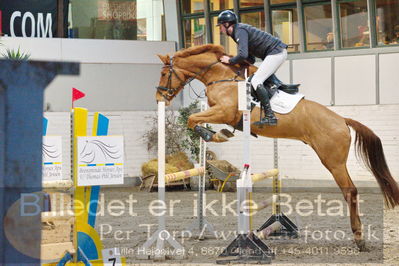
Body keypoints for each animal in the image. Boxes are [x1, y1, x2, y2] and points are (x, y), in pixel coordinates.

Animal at [155, 43, 399, 249]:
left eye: (164, 73)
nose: (160, 97)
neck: (221, 77)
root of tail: (342, 120)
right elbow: (194, 119)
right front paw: (218, 134)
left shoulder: (223, 111)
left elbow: (192, 119)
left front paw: (215, 135)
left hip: (333, 161)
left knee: (350, 191)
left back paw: (359, 238)